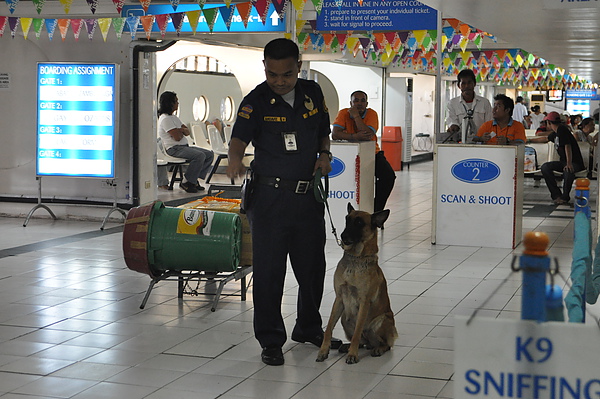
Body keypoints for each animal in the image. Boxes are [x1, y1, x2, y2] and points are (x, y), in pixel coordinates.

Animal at [316, 205, 396, 364]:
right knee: (363, 341)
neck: (356, 258)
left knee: (384, 343)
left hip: (381, 321)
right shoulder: (339, 299)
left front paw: (353, 355)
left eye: (359, 223)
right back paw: (348, 346)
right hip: (344, 318)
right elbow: (328, 328)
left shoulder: (364, 303)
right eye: (347, 220)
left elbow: (357, 332)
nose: (342, 235)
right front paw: (323, 350)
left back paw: (378, 349)